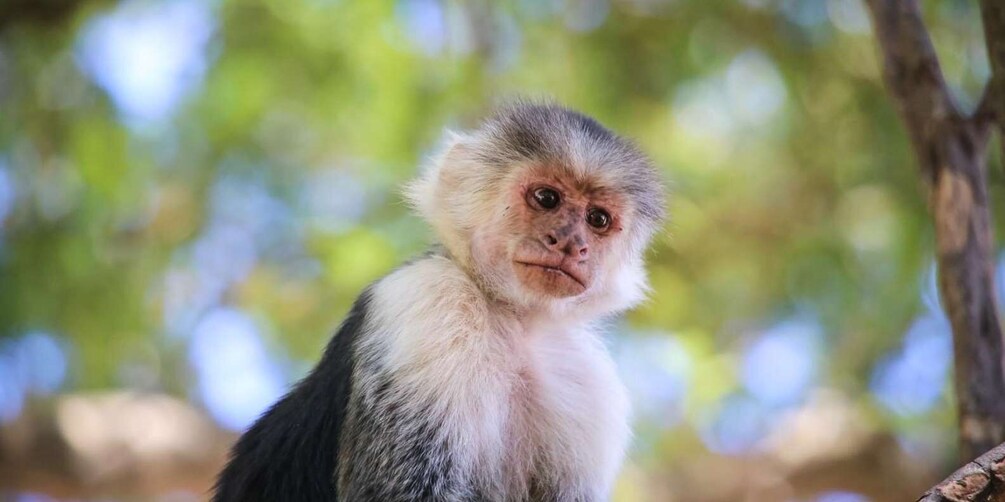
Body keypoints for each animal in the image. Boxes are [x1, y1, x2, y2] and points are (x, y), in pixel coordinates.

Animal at [212, 102, 666, 502]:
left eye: (598, 220)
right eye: (547, 198)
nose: (571, 243)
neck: (514, 321)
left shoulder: (588, 381)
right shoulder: (428, 301)